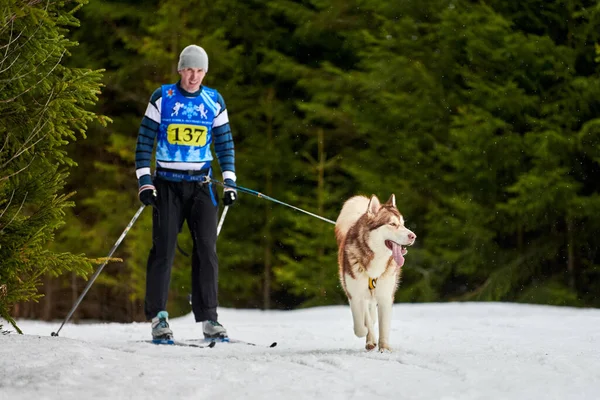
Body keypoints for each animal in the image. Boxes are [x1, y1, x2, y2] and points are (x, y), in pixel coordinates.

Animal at [336, 195, 414, 352]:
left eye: (403, 224)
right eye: (392, 224)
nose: (413, 236)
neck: (376, 262)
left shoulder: (386, 296)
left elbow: (383, 325)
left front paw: (384, 349)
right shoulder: (354, 295)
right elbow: (360, 326)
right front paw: (367, 332)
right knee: (367, 316)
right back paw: (370, 337)